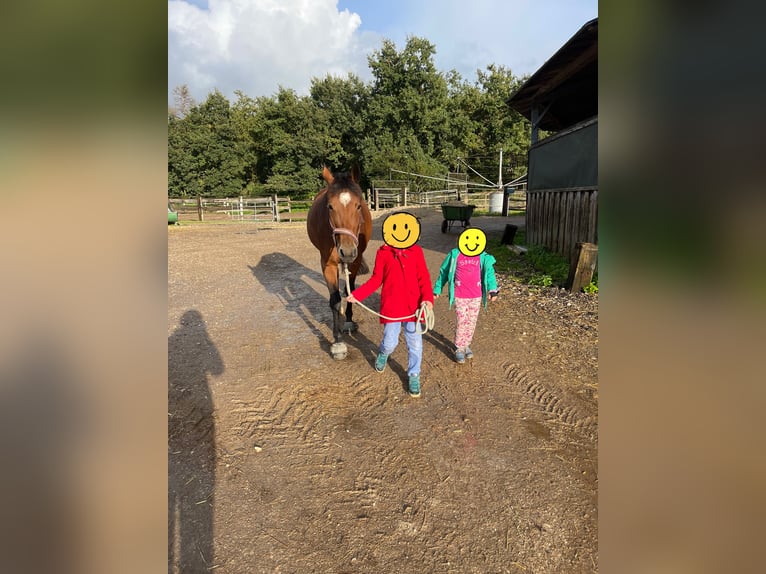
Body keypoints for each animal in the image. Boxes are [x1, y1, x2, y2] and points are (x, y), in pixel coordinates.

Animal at [308, 164, 376, 358]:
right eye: (330, 206)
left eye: (359, 206)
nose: (346, 251)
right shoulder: (328, 264)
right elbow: (335, 300)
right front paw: (338, 341)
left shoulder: (355, 260)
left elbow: (350, 290)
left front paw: (348, 322)